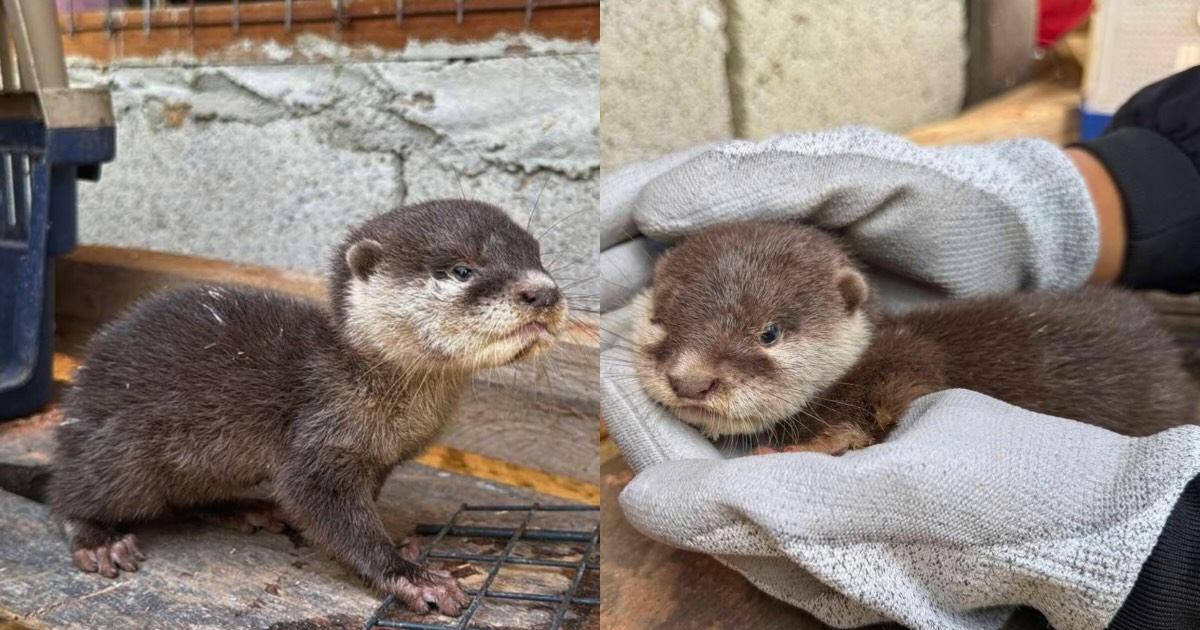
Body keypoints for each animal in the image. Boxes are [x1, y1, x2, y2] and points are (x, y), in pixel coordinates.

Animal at [0, 200, 567, 616]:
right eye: (461, 269)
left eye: (537, 256)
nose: (542, 291)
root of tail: (70, 429)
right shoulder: (317, 439)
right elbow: (325, 509)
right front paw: (411, 576)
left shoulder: (380, 459)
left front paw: (404, 546)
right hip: (122, 454)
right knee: (66, 494)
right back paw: (98, 539)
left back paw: (243, 508)